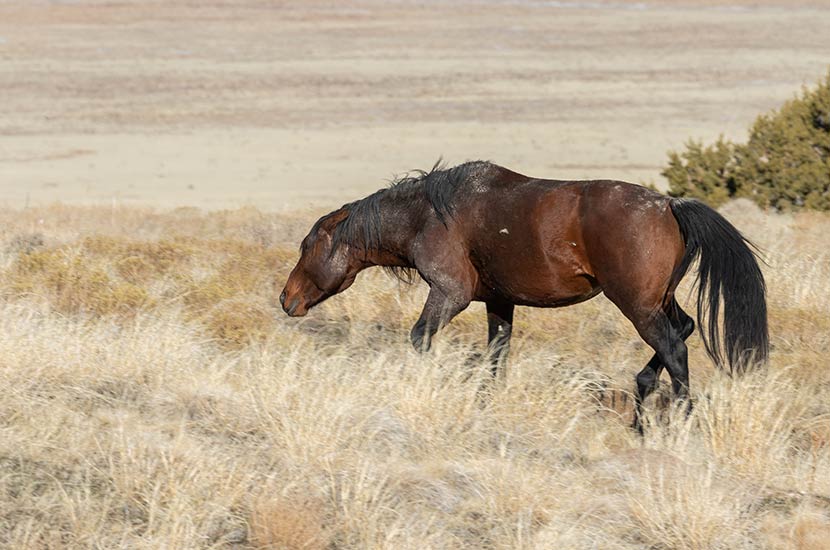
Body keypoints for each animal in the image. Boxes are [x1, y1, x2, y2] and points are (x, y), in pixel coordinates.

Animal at [282, 160, 772, 432]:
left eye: (307, 246)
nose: (286, 299)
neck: (426, 214)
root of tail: (670, 205)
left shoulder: (450, 293)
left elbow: (421, 338)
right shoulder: (499, 302)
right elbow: (496, 356)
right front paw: (484, 404)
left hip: (637, 305)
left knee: (674, 347)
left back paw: (679, 422)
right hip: (658, 300)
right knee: (683, 331)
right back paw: (639, 412)